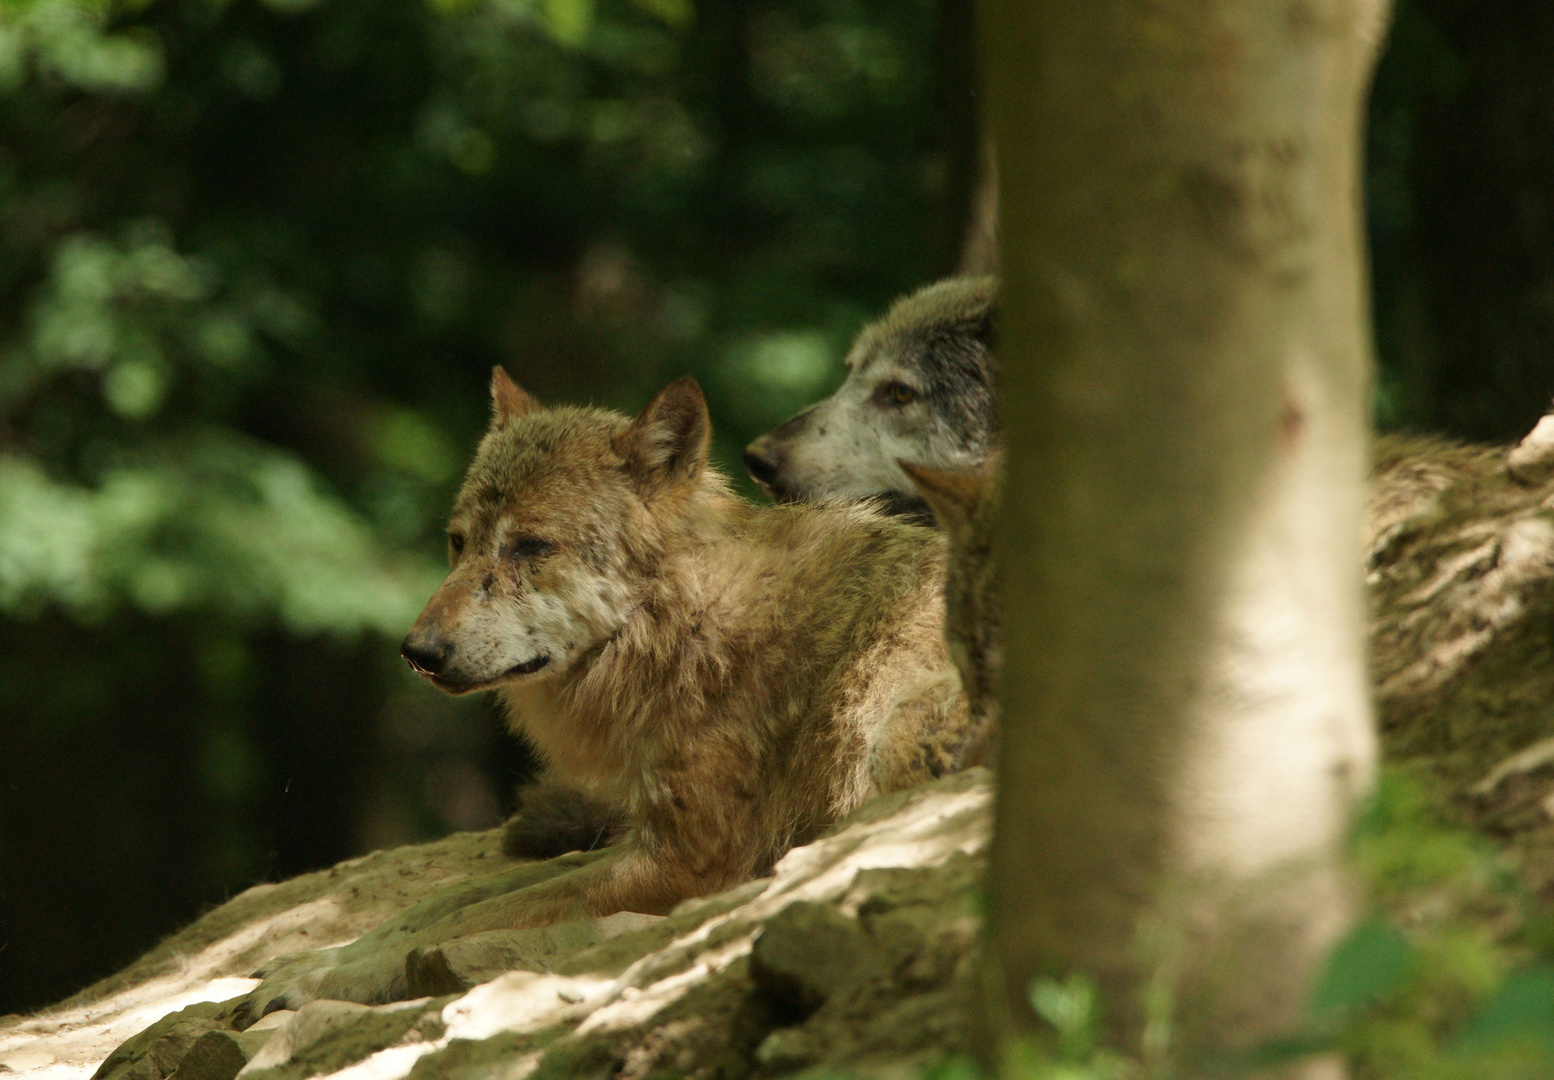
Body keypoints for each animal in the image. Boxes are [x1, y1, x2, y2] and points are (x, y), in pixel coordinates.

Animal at [236, 371, 963, 1019]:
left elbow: (485, 913)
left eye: (529, 546)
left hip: (886, 723)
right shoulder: (643, 837)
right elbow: (452, 901)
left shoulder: (685, 862)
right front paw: (318, 960)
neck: (685, 624)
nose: (418, 652)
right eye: (457, 543)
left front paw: (325, 977)